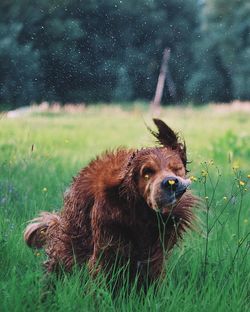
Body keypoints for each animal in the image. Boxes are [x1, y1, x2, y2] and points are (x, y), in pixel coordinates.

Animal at [24, 119, 197, 286]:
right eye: (147, 172)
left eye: (177, 168)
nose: (171, 183)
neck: (141, 213)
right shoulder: (106, 246)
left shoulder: (155, 253)